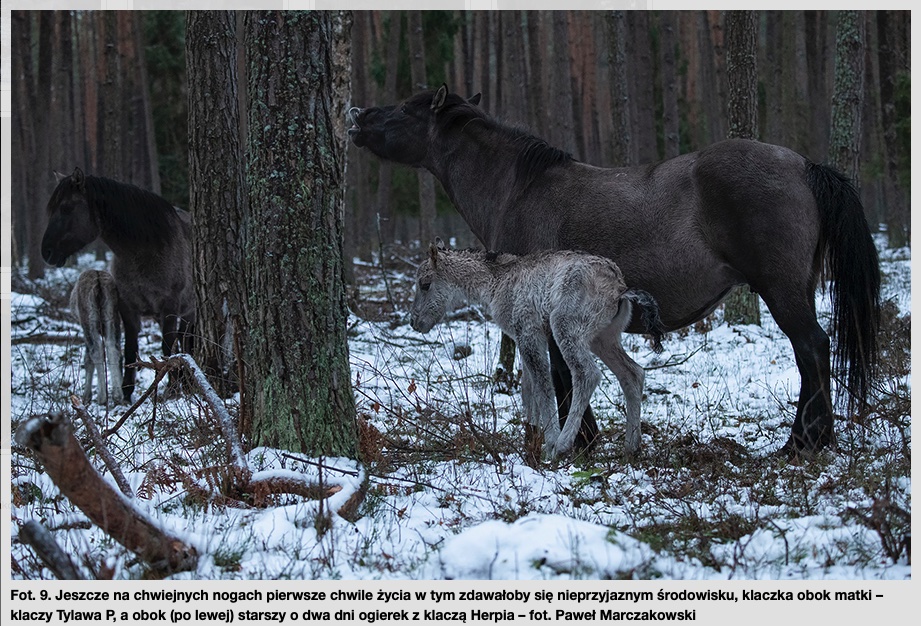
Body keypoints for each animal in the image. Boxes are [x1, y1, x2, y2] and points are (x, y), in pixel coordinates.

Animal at [70, 268, 123, 404]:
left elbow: (88, 358)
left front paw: (86, 396)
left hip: (89, 320)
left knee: (97, 350)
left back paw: (102, 396)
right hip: (112, 316)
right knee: (113, 348)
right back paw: (117, 395)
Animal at [410, 239, 660, 458]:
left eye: (425, 284)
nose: (415, 322)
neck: (496, 282)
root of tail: (619, 289)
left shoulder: (530, 331)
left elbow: (542, 385)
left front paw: (549, 443)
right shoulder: (521, 338)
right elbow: (527, 388)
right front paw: (531, 441)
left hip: (565, 326)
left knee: (587, 374)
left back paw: (564, 444)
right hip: (604, 338)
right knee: (632, 373)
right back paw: (632, 447)